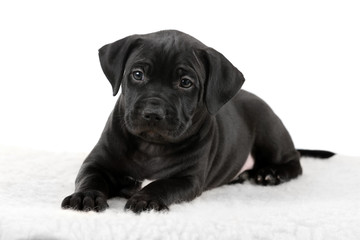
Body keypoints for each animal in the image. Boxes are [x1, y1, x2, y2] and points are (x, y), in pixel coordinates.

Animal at [61, 29, 332, 212]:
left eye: (185, 83)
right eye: (137, 74)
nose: (153, 112)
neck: (152, 145)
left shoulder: (188, 179)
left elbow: (161, 185)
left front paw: (145, 198)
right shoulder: (97, 163)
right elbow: (89, 177)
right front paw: (85, 197)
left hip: (269, 131)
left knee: (294, 162)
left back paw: (270, 174)